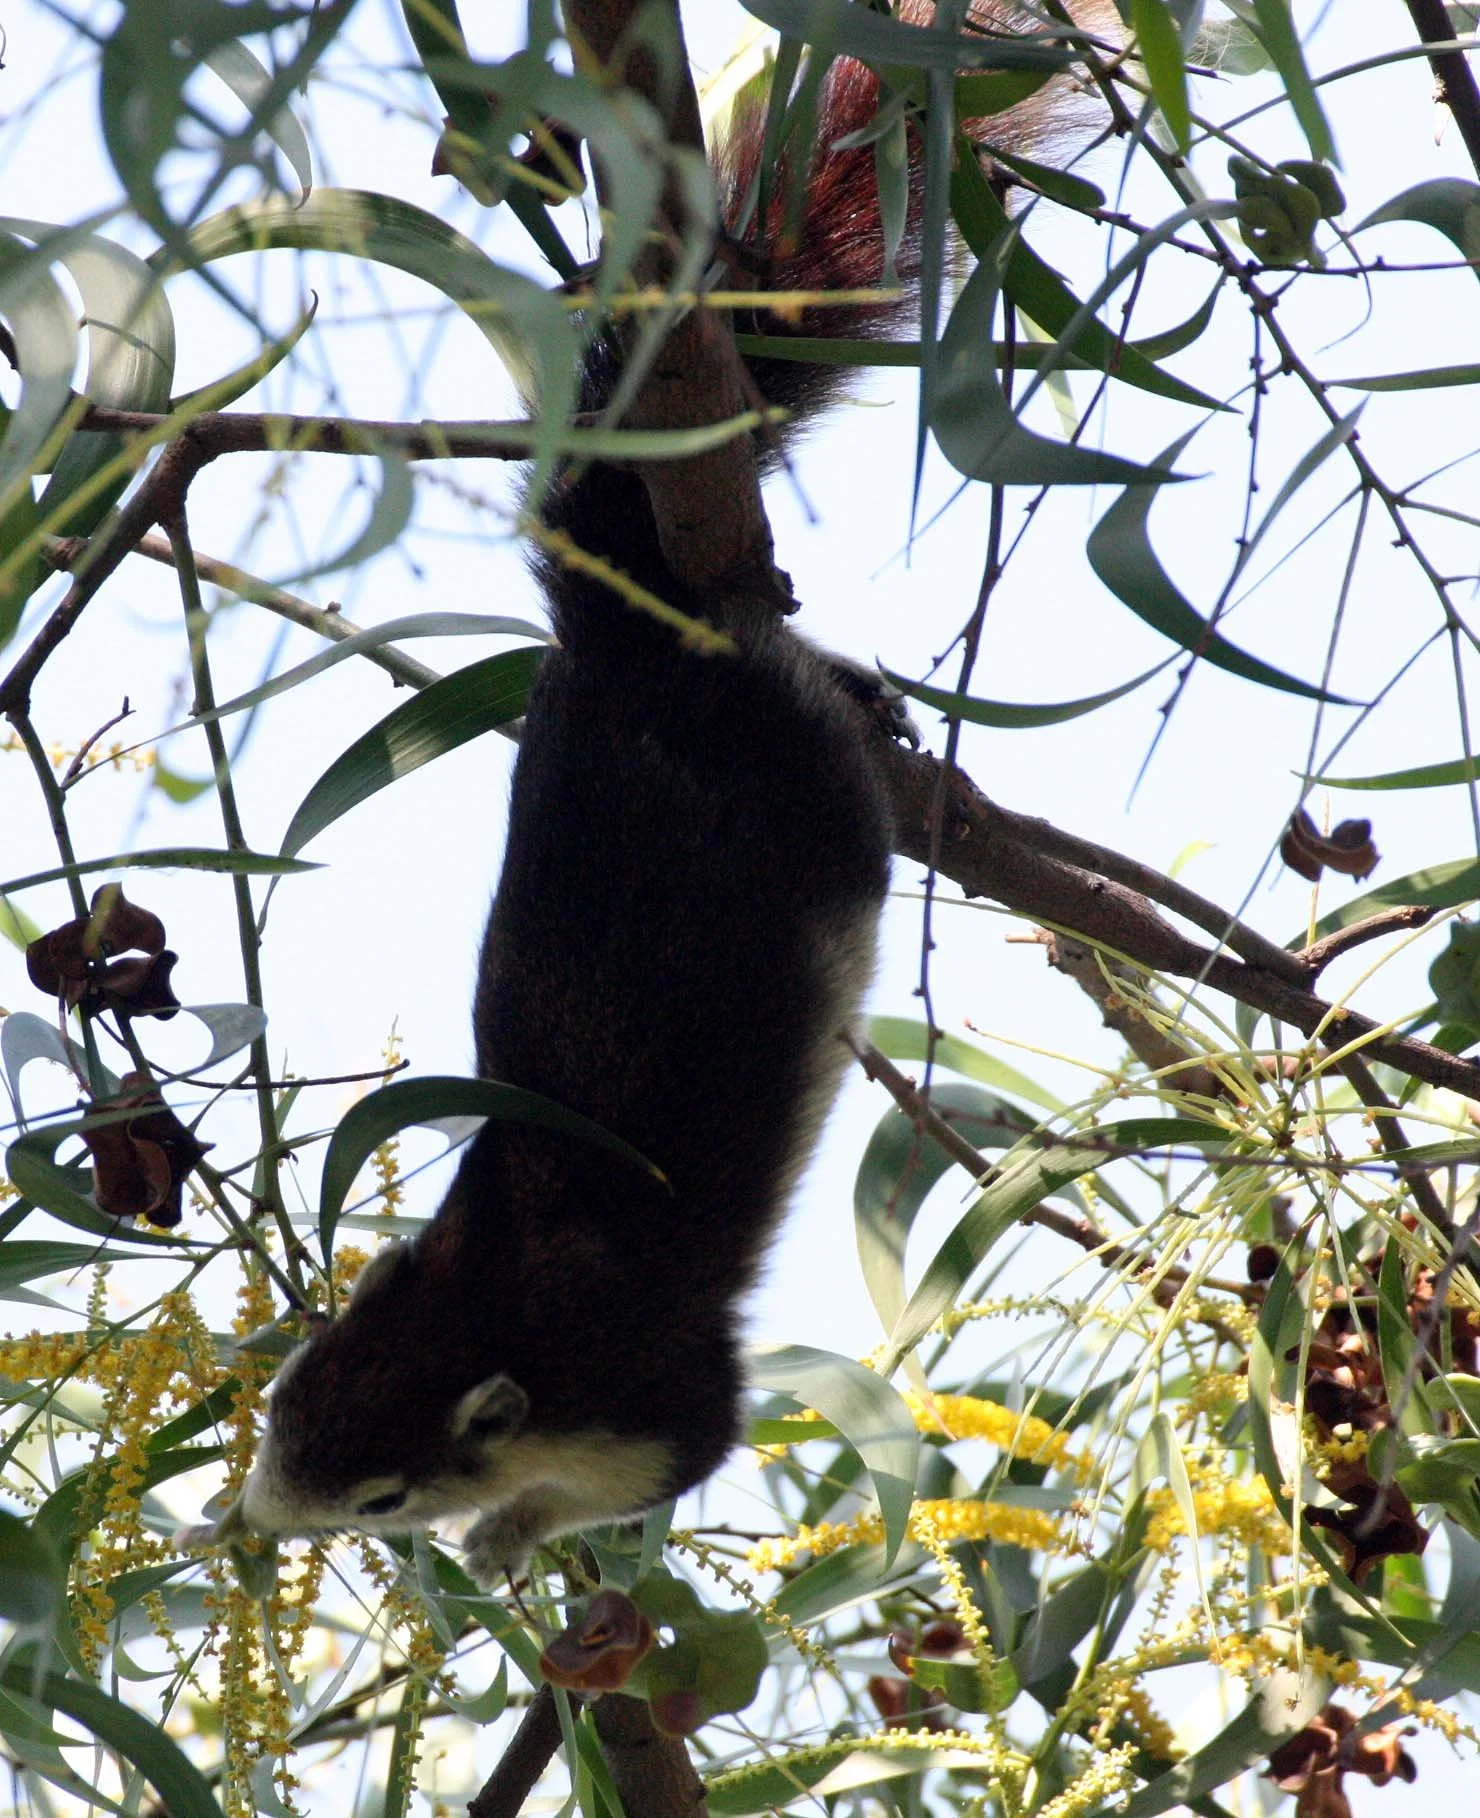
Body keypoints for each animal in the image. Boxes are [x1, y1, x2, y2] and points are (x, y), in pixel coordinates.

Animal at [193, 3, 1109, 1586]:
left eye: (381, 1494)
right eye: (287, 1393)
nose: (251, 1519)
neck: (495, 1286)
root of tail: (624, 637)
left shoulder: (654, 1386)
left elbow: (672, 1456)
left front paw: (506, 1537)